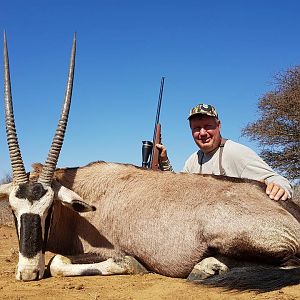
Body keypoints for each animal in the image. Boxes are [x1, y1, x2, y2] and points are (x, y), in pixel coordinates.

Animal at [0, 34, 300, 292]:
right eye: (13, 209)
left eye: (49, 209)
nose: (28, 272)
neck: (82, 206)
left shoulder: (101, 250)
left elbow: (58, 262)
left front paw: (133, 264)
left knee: (288, 262)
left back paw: (205, 267)